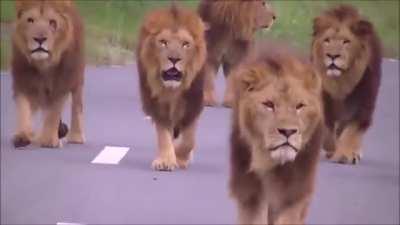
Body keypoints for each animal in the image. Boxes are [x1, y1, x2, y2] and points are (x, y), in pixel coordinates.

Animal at [11, 0, 85, 149]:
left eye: (52, 22)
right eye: (30, 20)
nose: (40, 39)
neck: (43, 65)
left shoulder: (62, 82)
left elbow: (53, 112)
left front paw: (48, 140)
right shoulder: (22, 79)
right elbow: (24, 109)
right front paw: (22, 136)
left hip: (77, 77)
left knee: (77, 105)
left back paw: (76, 137)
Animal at [137, 4, 208, 171]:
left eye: (186, 44)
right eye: (163, 42)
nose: (174, 59)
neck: (172, 90)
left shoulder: (192, 105)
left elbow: (189, 140)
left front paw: (180, 158)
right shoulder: (157, 105)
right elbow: (164, 135)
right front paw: (165, 161)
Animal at [227, 43, 324, 224]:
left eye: (299, 106)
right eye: (269, 104)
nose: (288, 131)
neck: (267, 163)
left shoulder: (295, 193)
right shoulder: (250, 194)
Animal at [310, 4, 382, 163]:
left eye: (346, 41)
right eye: (327, 40)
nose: (332, 56)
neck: (340, 82)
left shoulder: (362, 105)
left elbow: (351, 131)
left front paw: (344, 155)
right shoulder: (324, 99)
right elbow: (327, 129)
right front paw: (331, 148)